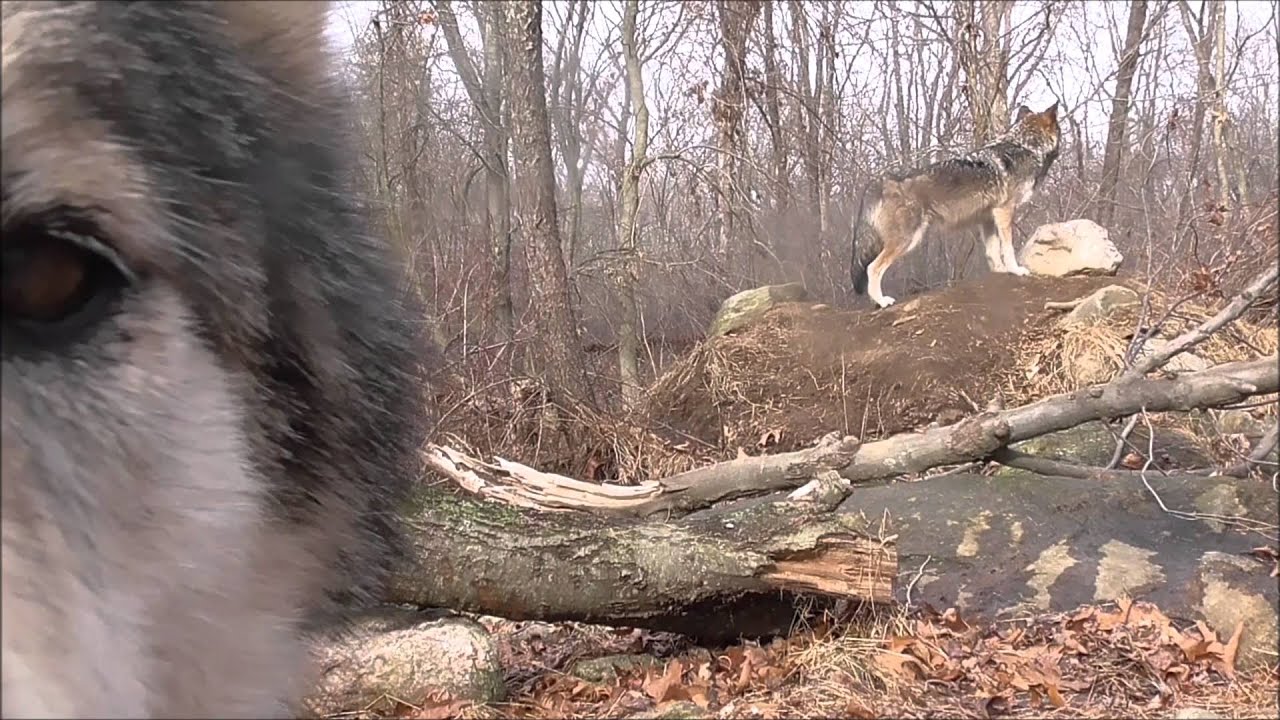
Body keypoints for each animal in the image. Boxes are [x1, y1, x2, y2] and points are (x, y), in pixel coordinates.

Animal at [849, 102, 1062, 308]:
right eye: (1059, 130)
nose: (1061, 149)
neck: (1025, 146)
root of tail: (881, 182)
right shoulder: (1005, 211)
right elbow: (1008, 247)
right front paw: (1015, 270)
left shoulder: (987, 218)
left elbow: (992, 251)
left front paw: (1000, 271)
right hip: (907, 240)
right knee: (872, 268)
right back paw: (882, 301)